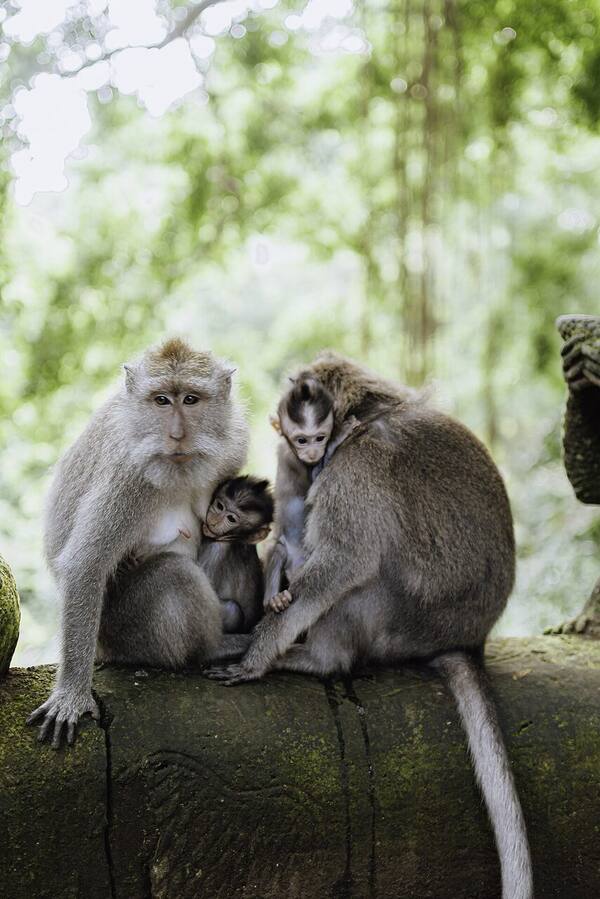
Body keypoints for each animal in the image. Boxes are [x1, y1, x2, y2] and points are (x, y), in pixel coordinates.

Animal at [28, 338, 249, 748]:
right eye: (161, 400)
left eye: (190, 399)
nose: (176, 435)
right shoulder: (127, 475)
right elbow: (86, 566)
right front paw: (71, 696)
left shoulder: (234, 443)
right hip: (123, 632)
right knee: (175, 573)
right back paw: (214, 649)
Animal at [199, 475, 274, 633]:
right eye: (220, 506)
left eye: (231, 519)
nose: (214, 522)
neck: (235, 540)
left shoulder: (217, 549)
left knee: (233, 610)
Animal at [264, 375, 360, 614]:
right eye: (302, 440)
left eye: (319, 438)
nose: (313, 452)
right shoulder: (296, 461)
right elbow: (315, 482)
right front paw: (342, 434)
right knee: (278, 549)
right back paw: (273, 600)